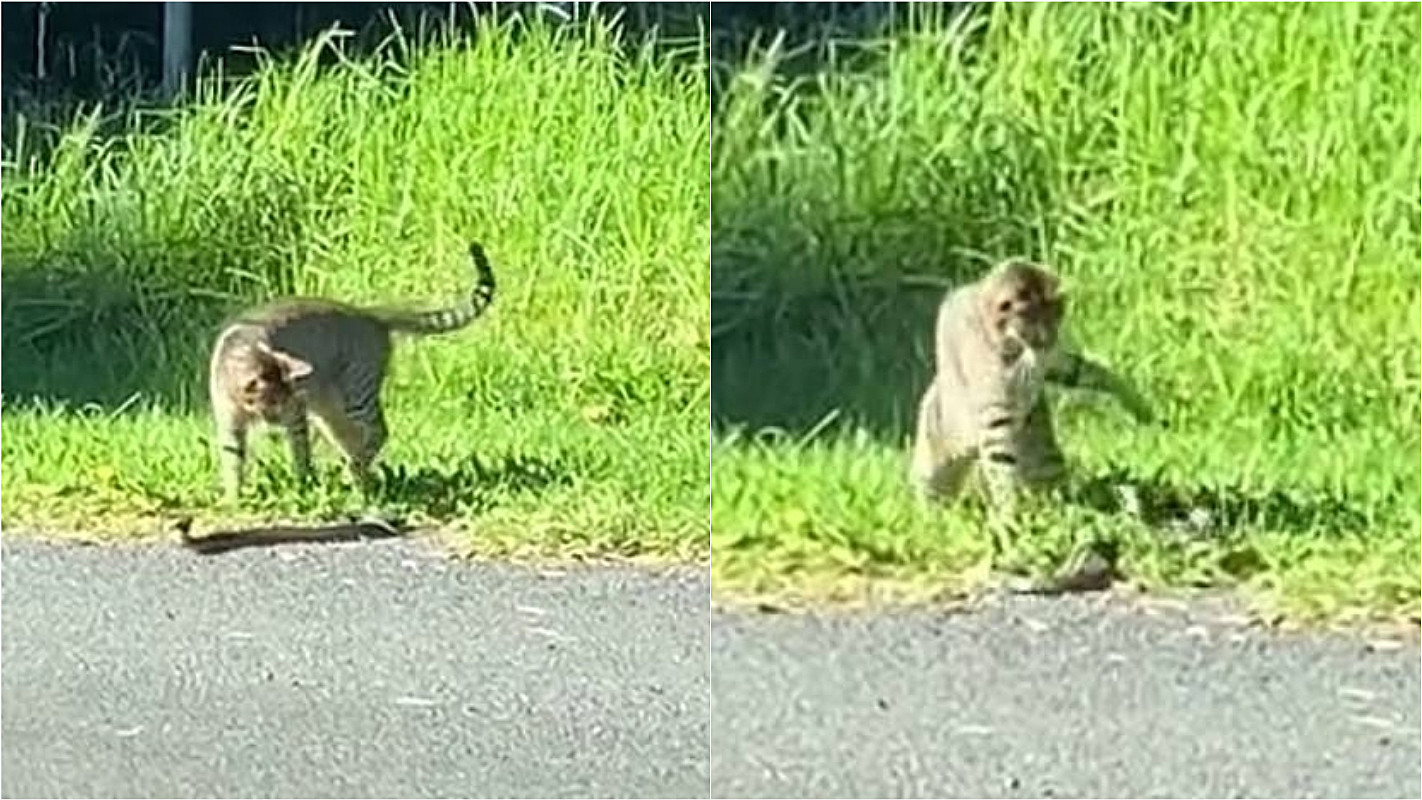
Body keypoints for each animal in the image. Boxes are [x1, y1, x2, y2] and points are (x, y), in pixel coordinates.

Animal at [207, 241, 497, 497]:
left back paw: (357, 472)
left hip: (356, 393)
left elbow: (301, 454)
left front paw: (303, 484)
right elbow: (232, 460)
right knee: (352, 438)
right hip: (328, 411)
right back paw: (357, 475)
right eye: (275, 402)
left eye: (285, 402)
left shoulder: (297, 416)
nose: (279, 421)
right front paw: (234, 499)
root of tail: (368, 313)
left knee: (377, 432)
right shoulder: (230, 421)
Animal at [910, 260, 1154, 517]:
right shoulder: (998, 401)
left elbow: (1086, 370)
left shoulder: (1052, 363)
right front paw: (1009, 513)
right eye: (1035, 321)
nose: (1049, 340)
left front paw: (1136, 401)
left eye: (1057, 315)